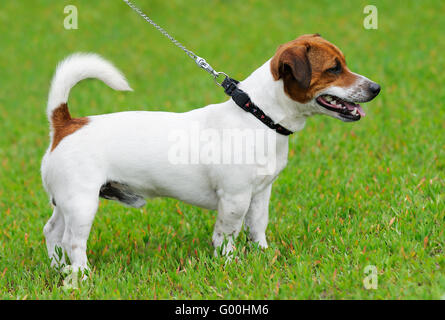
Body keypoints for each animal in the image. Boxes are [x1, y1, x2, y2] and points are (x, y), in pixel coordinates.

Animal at [41, 33, 380, 272]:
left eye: (343, 64)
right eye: (334, 69)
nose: (376, 88)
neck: (258, 115)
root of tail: (66, 124)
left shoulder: (260, 194)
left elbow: (257, 227)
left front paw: (263, 255)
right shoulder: (234, 198)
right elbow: (226, 235)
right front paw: (230, 264)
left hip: (67, 203)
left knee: (52, 232)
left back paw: (59, 270)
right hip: (83, 203)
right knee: (73, 241)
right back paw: (82, 276)